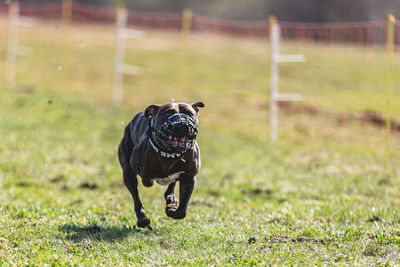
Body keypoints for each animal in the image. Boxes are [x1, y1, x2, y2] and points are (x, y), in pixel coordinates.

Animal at [118, 101, 205, 229]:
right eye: (168, 113)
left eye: (190, 114)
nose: (183, 124)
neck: (170, 155)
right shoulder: (139, 173)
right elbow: (142, 187)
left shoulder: (189, 179)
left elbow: (182, 211)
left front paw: (171, 209)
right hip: (128, 171)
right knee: (136, 195)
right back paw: (142, 219)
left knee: (171, 185)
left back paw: (171, 199)